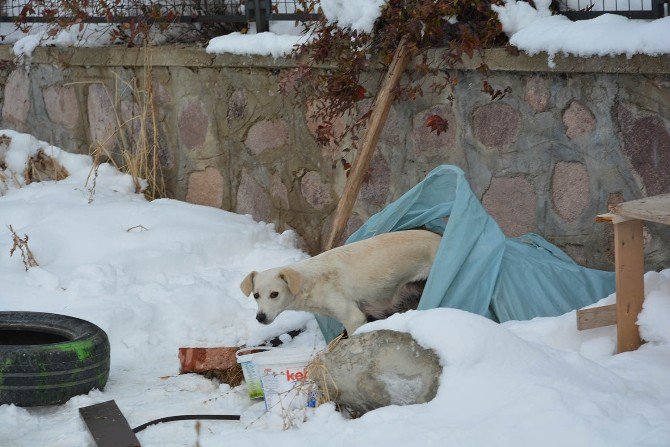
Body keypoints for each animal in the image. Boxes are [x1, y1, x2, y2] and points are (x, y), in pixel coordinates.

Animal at [239, 231, 444, 336]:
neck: (311, 282)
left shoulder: (354, 318)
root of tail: (439, 237)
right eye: (256, 295)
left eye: (274, 294)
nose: (260, 317)